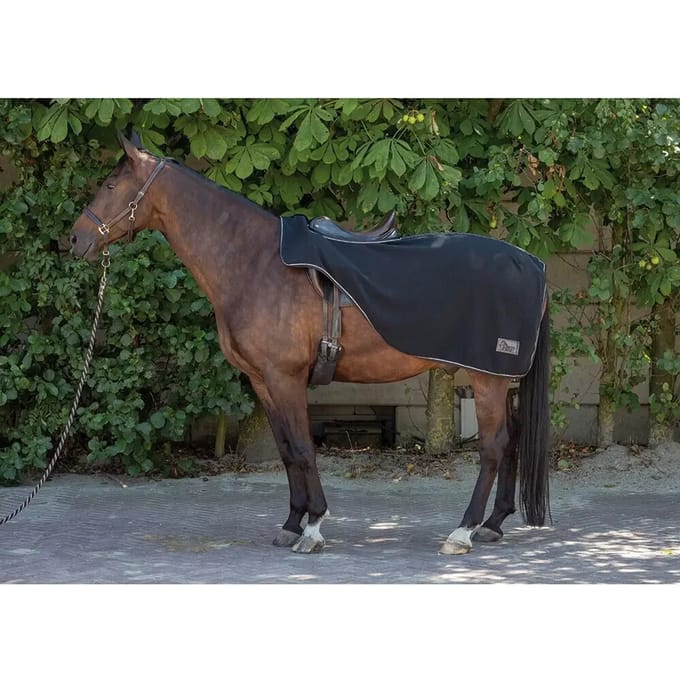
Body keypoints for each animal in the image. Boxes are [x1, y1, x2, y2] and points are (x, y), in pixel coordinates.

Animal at [69, 133, 551, 556]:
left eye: (110, 184)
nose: (75, 239)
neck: (254, 263)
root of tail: (532, 262)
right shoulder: (263, 382)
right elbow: (287, 452)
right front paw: (290, 523)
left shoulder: (286, 378)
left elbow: (302, 448)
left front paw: (314, 526)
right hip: (498, 379)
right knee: (511, 440)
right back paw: (493, 523)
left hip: (487, 379)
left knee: (492, 447)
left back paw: (463, 531)